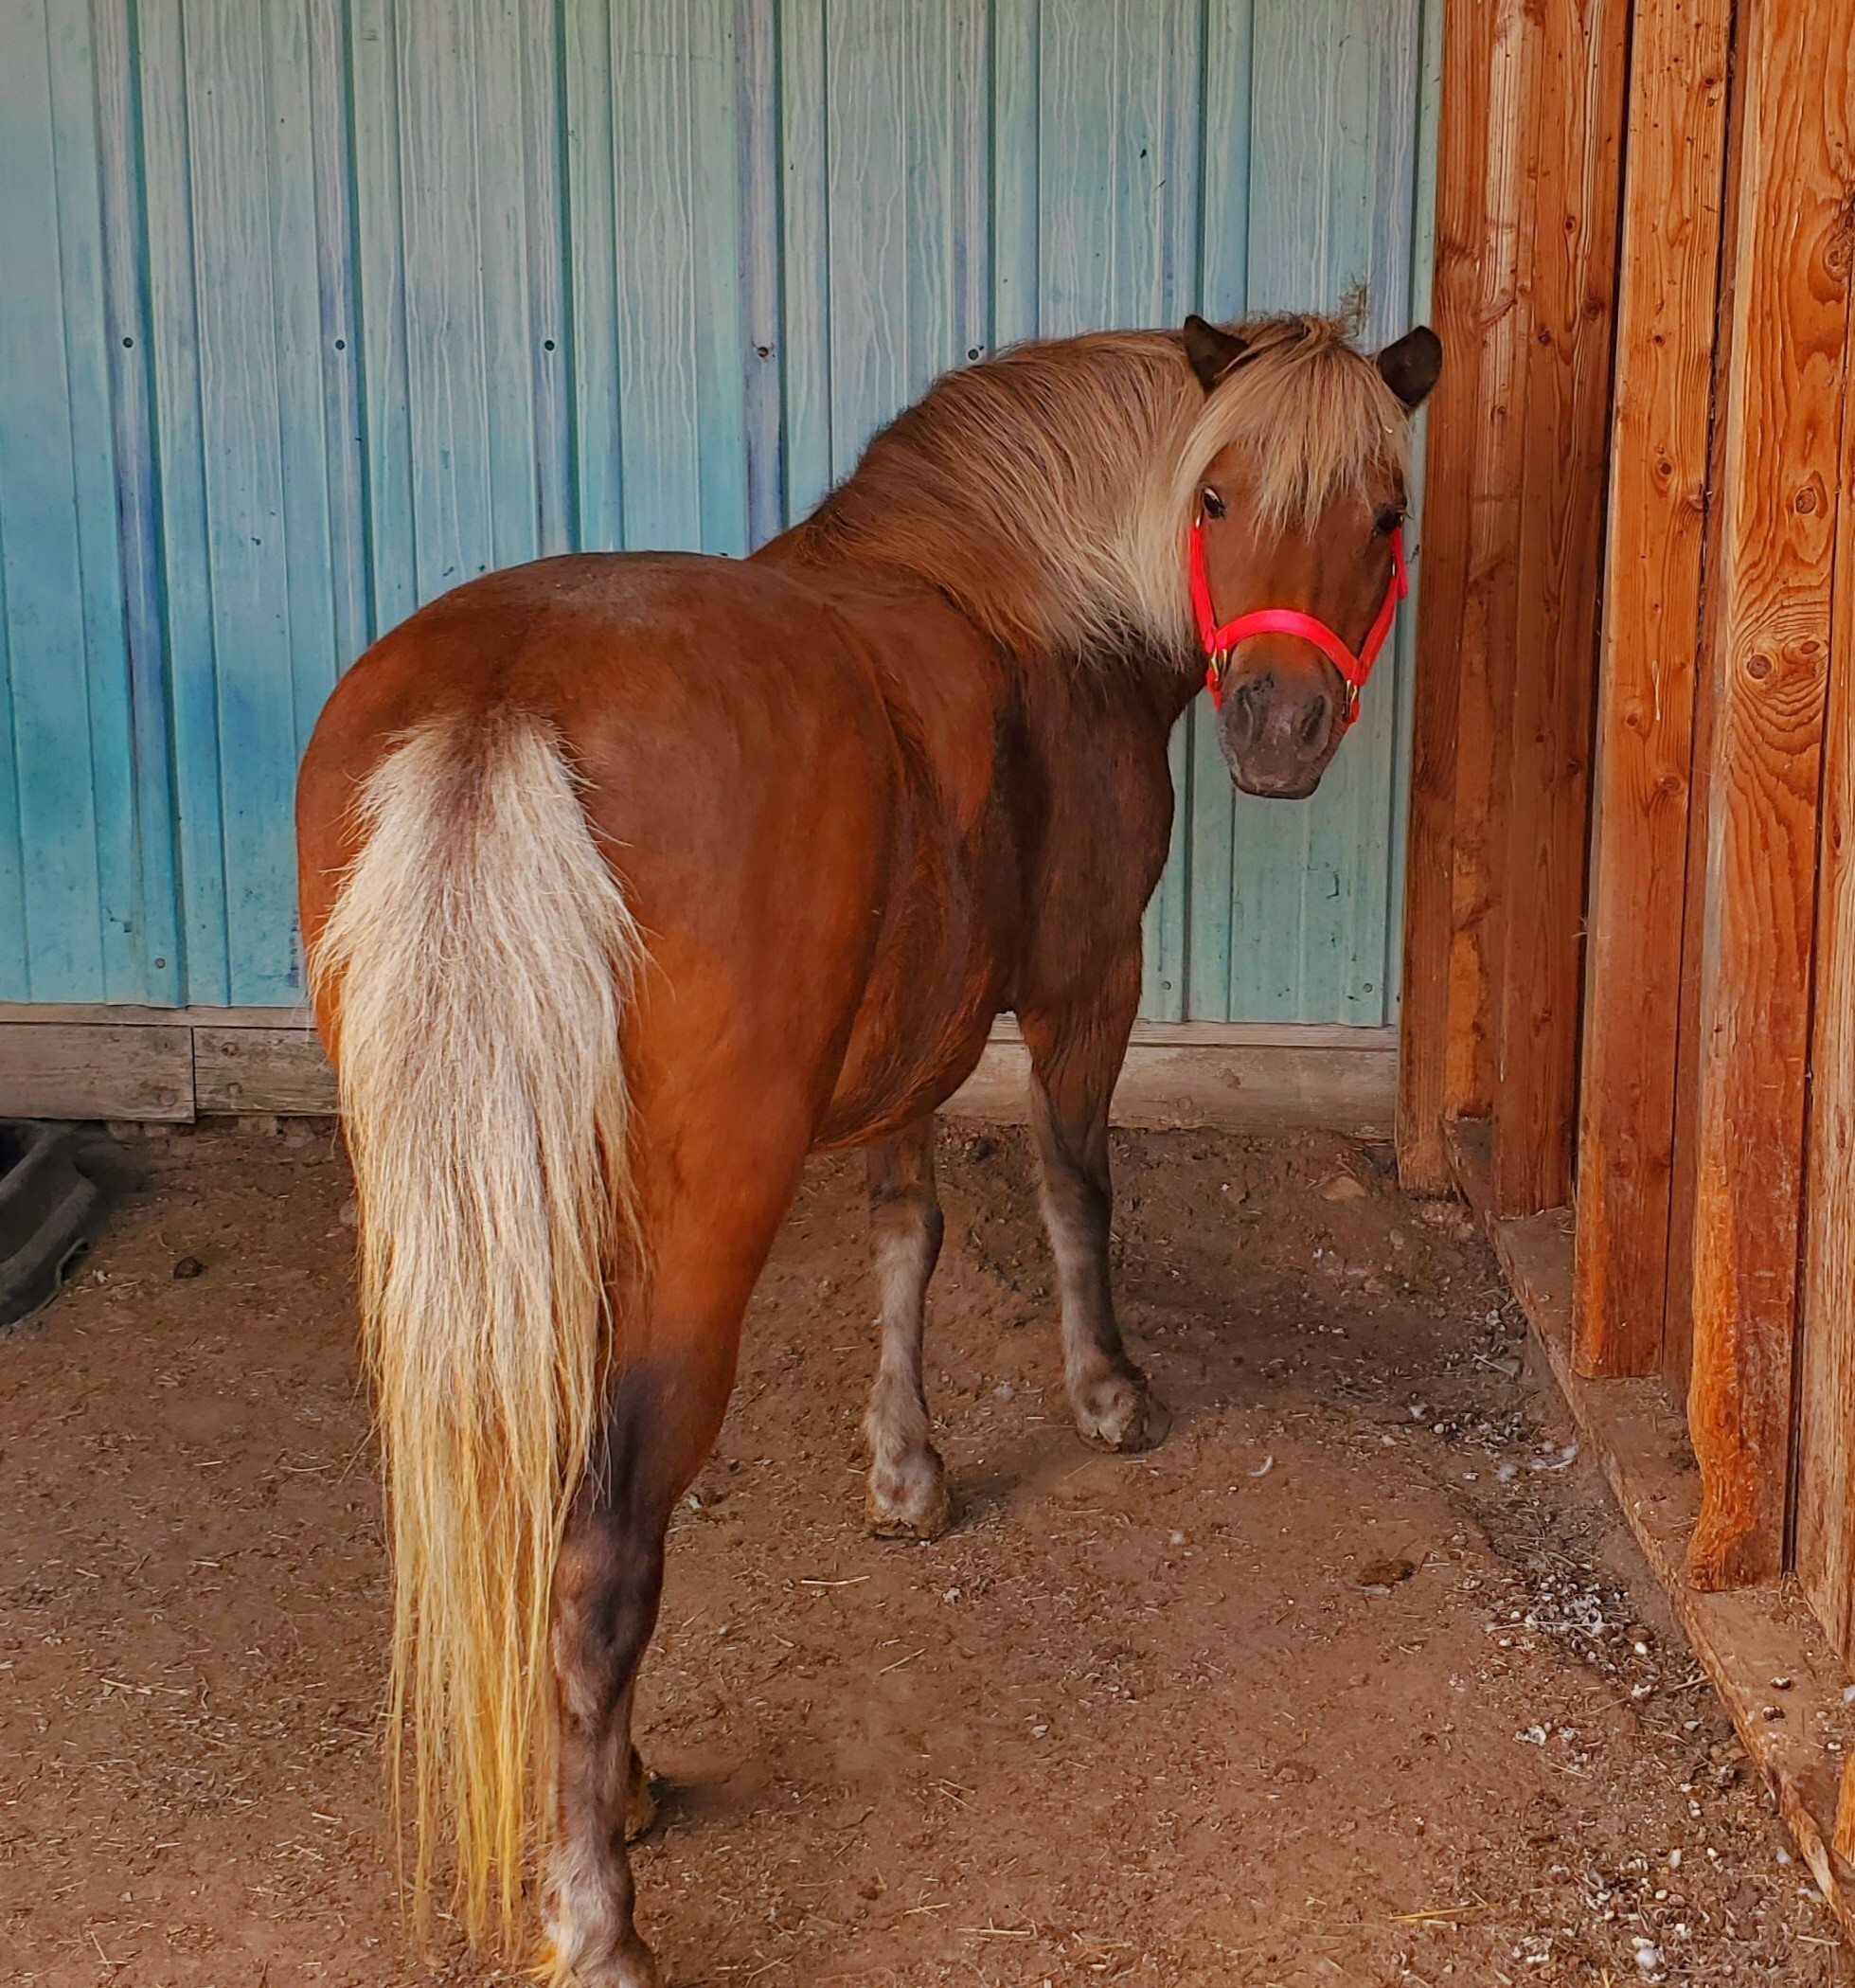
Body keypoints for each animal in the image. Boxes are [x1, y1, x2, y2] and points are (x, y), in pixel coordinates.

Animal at [295, 308, 1440, 1986]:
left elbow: (907, 1233)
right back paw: (597, 1898)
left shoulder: (912, 1045)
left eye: (1383, 509)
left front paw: (905, 1465)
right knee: (596, 1558)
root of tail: (509, 698)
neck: (1016, 593)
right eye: (1216, 494)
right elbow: (1072, 1186)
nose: (1278, 725)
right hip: (683, 1248)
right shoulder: (1086, 983)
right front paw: (1106, 1388)